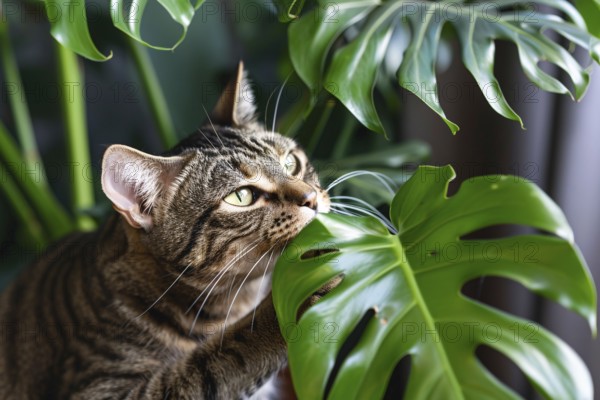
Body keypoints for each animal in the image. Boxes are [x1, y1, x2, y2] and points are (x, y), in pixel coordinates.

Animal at [0, 62, 328, 396]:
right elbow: (217, 361)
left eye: (290, 163)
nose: (311, 198)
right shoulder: (100, 387)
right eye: (242, 196)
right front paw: (289, 305)